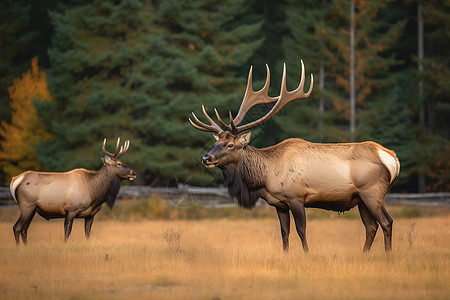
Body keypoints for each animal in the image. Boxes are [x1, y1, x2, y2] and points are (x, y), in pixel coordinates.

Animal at [188, 61, 400, 253]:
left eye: (230, 145)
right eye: (216, 142)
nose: (206, 158)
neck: (265, 178)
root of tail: (392, 158)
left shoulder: (296, 196)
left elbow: (301, 230)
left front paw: (306, 254)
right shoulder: (279, 204)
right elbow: (284, 233)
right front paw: (286, 254)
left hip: (372, 192)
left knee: (386, 222)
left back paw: (388, 255)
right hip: (361, 198)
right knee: (371, 227)